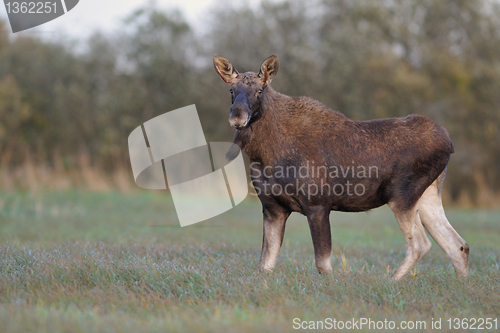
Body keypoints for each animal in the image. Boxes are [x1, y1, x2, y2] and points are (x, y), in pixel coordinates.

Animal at [214, 54, 468, 280]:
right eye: (231, 91)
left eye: (260, 90)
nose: (237, 117)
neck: (263, 155)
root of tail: (449, 144)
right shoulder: (272, 208)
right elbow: (265, 265)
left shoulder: (318, 205)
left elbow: (322, 264)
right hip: (427, 196)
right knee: (458, 245)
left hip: (402, 196)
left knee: (421, 244)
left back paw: (391, 280)